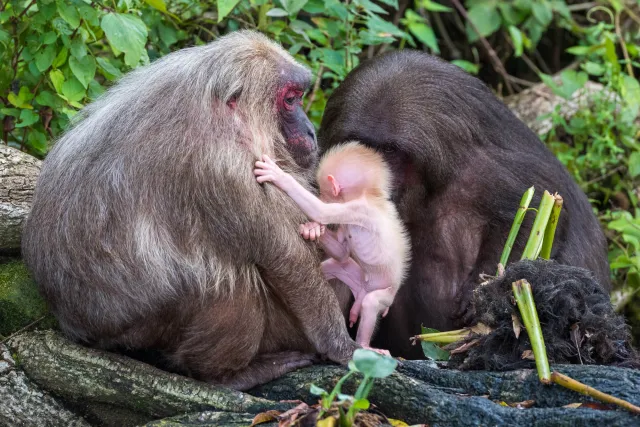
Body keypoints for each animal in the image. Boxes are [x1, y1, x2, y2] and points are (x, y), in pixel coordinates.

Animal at [254, 140, 410, 354]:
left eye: (323, 191)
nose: (320, 194)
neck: (368, 195)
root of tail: (362, 291)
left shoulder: (357, 209)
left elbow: (322, 212)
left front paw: (280, 176)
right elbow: (342, 254)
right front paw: (313, 230)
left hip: (385, 295)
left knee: (371, 303)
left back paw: (363, 345)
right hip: (356, 280)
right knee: (336, 266)